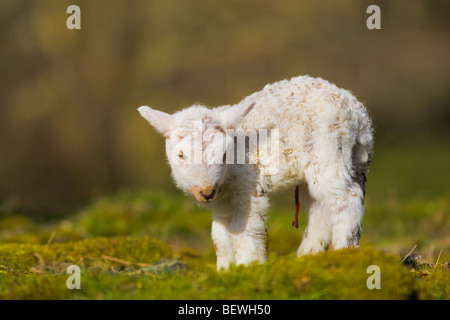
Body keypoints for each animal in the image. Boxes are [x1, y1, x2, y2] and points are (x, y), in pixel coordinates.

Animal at [139, 76, 374, 272]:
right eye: (180, 155)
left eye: (223, 153)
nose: (205, 191)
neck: (225, 180)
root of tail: (357, 112)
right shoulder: (221, 204)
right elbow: (220, 238)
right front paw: (225, 271)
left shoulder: (248, 191)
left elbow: (242, 234)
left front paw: (248, 268)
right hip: (352, 160)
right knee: (321, 208)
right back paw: (308, 256)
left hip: (328, 151)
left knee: (346, 198)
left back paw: (342, 254)